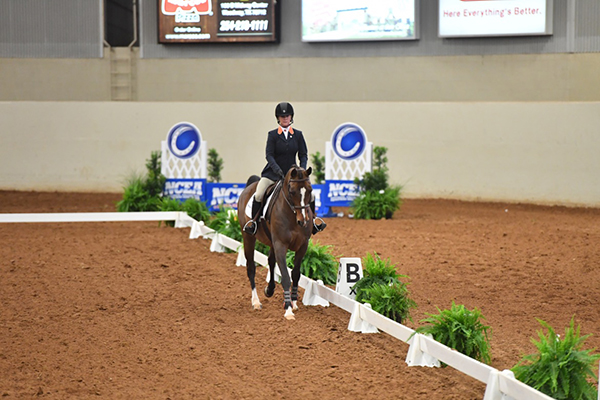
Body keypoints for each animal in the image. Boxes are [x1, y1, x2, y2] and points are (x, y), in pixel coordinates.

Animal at [238, 165, 316, 318]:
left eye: (309, 190)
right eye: (292, 192)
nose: (303, 221)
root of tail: (249, 187)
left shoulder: (303, 246)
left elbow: (295, 274)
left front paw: (293, 303)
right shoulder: (280, 245)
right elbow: (285, 276)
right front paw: (288, 310)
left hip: (271, 242)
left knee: (271, 261)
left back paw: (270, 289)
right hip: (248, 238)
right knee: (251, 268)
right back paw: (256, 302)